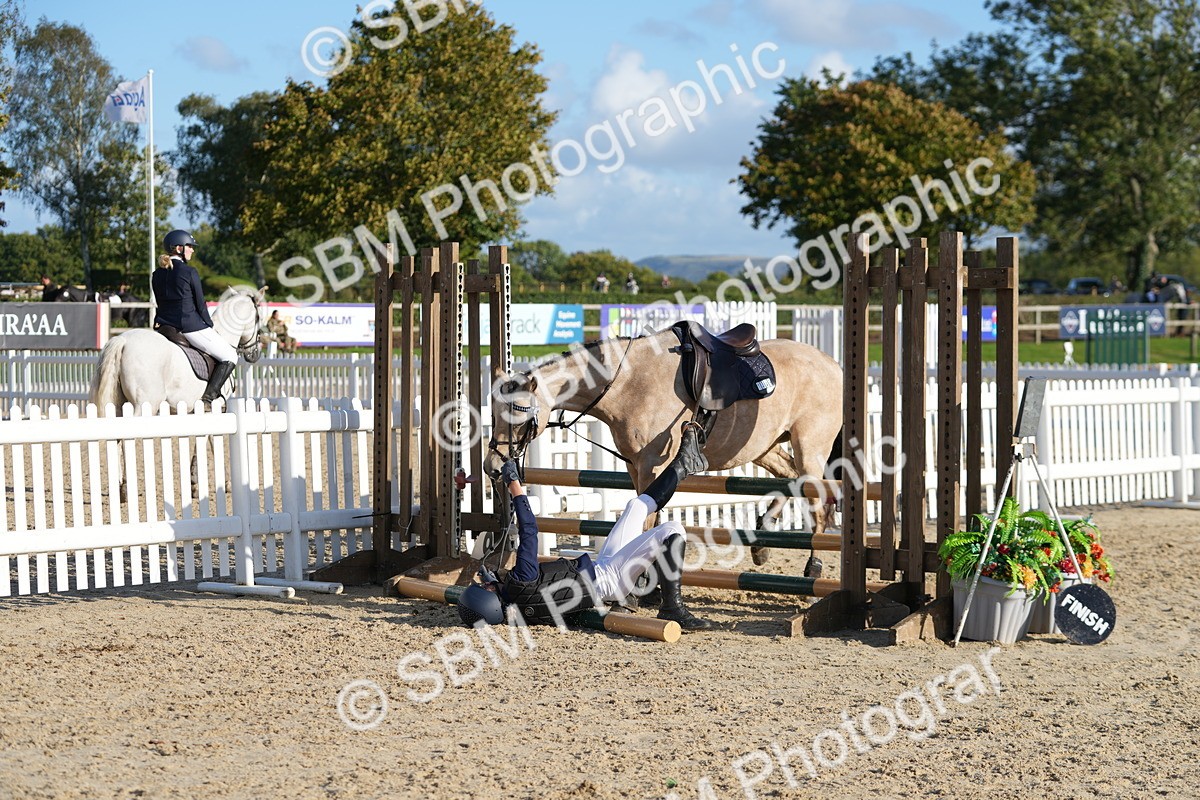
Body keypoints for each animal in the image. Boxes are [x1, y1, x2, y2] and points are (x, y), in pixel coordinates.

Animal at [89, 285, 264, 413]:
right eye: (258, 318)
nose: (254, 354)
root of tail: (123, 340)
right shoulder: (216, 408)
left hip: (118, 404)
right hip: (146, 403)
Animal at [484, 329, 844, 568]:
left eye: (519, 414)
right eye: (493, 413)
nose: (492, 466)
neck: (625, 382)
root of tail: (834, 364)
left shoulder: (652, 466)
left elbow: (645, 519)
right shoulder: (635, 466)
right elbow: (647, 517)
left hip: (809, 446)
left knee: (817, 496)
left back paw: (814, 564)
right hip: (764, 448)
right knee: (791, 477)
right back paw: (763, 539)